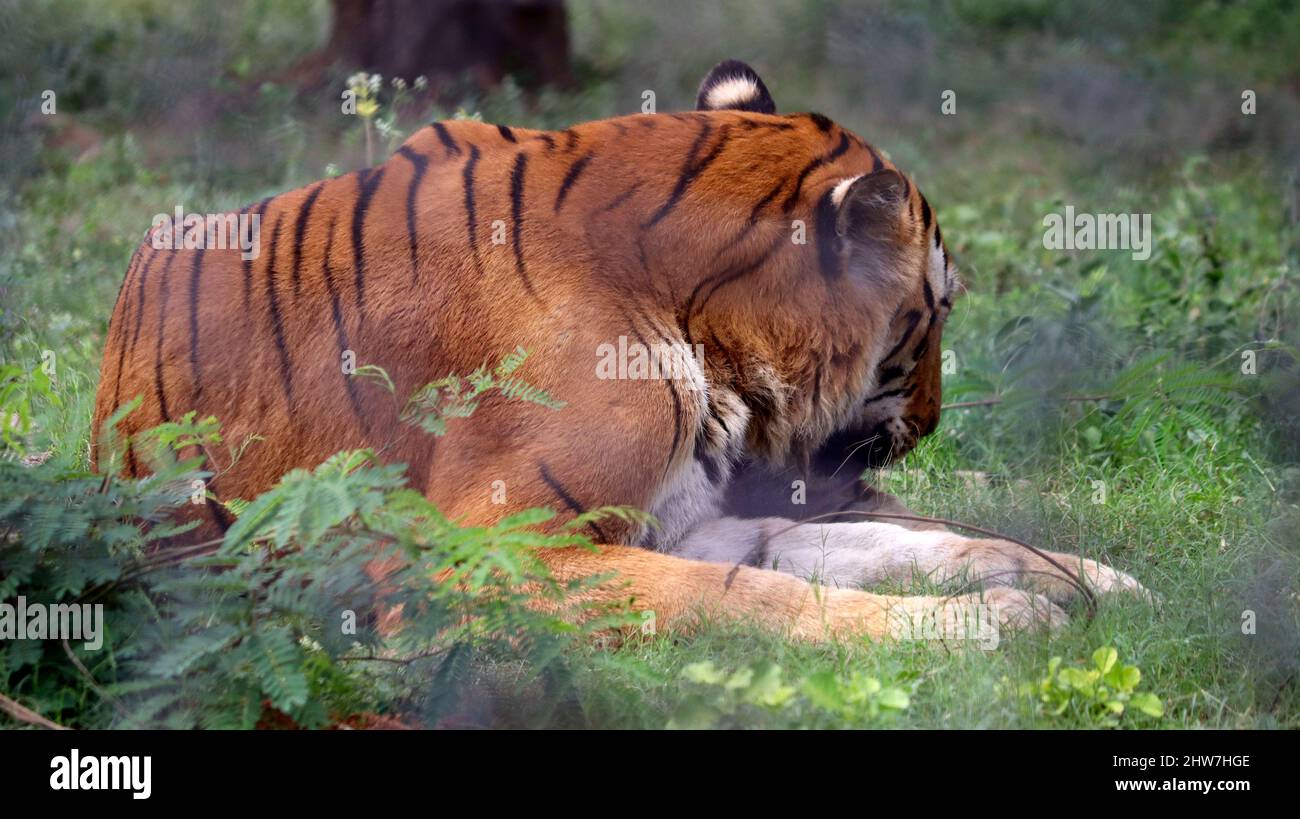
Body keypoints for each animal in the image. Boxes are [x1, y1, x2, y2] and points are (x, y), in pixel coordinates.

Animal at [94, 61, 1149, 644]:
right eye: (937, 312)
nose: (930, 424)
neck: (711, 339)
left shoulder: (679, 517)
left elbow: (889, 543)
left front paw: (1087, 579)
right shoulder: (494, 554)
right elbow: (751, 597)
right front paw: (995, 624)